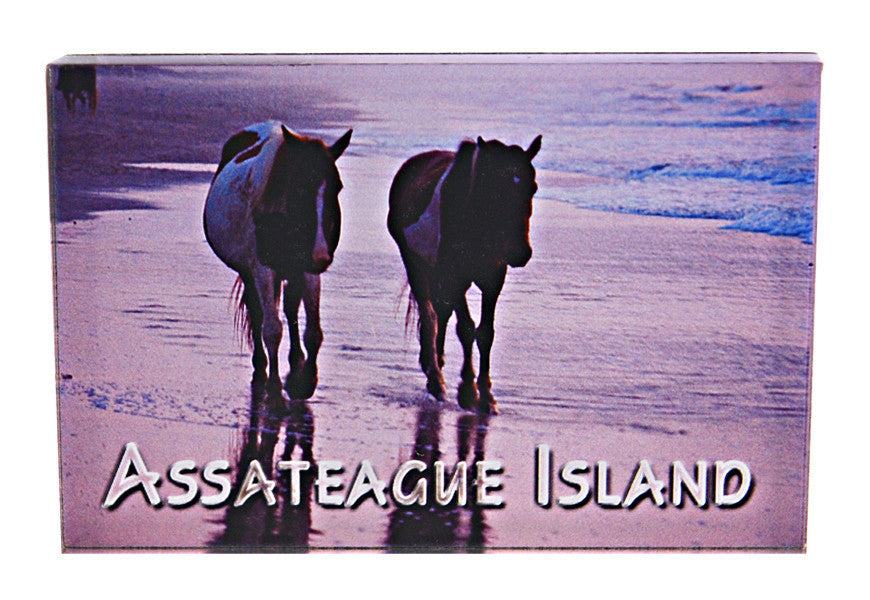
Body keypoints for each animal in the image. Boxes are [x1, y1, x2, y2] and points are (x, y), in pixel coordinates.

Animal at [204, 121, 352, 397]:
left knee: (290, 308)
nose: (321, 256)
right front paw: (274, 385)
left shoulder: (308, 270)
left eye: (337, 187)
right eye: (299, 187)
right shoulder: (262, 270)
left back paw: (296, 360)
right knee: (258, 313)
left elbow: (313, 332)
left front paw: (306, 380)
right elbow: (272, 329)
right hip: (251, 273)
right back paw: (261, 364)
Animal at [388, 135, 542, 413]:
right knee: (430, 314)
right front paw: (469, 391)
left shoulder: (493, 281)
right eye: (497, 190)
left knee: (441, 311)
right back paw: (435, 379)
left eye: (532, 187)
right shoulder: (454, 276)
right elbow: (467, 328)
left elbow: (486, 332)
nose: (520, 252)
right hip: (414, 262)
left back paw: (435, 363)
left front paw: (486, 395)